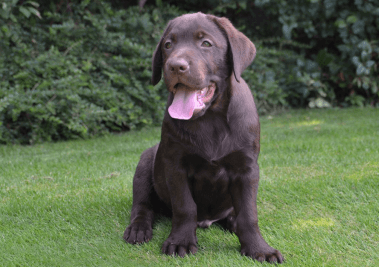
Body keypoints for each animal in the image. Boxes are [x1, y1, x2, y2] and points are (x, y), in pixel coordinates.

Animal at [124, 12, 284, 264]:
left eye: (206, 43)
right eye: (168, 45)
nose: (175, 66)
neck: (210, 118)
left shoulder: (247, 168)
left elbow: (249, 213)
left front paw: (259, 248)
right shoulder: (175, 165)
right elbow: (184, 207)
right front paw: (181, 241)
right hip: (145, 163)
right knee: (142, 205)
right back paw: (138, 229)